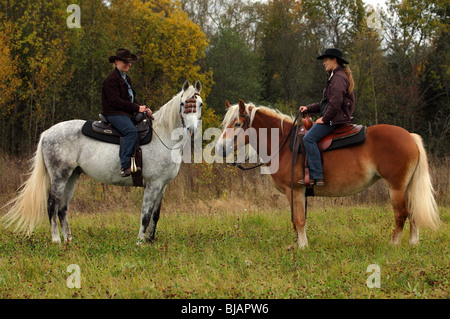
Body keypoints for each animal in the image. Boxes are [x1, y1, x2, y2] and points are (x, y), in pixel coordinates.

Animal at [2, 80, 203, 245]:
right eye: (183, 103)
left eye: (200, 104)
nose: (192, 130)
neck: (162, 136)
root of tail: (46, 134)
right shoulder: (152, 185)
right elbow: (145, 215)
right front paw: (139, 243)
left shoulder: (162, 186)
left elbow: (156, 214)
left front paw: (150, 241)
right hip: (59, 175)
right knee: (52, 204)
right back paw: (56, 240)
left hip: (72, 175)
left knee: (63, 208)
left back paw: (69, 240)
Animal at [216, 100, 442, 250]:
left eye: (237, 124)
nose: (219, 148)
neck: (285, 144)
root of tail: (410, 137)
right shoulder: (299, 193)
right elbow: (299, 220)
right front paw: (300, 244)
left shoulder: (294, 190)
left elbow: (299, 220)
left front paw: (302, 248)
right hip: (407, 187)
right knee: (413, 213)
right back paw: (413, 244)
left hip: (396, 187)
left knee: (401, 214)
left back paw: (393, 244)